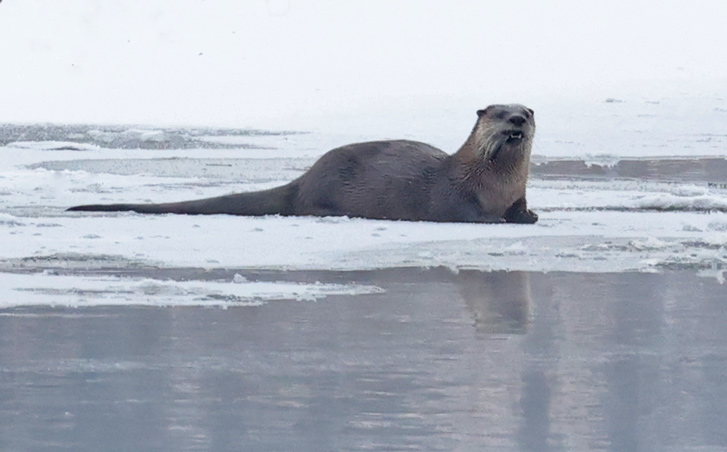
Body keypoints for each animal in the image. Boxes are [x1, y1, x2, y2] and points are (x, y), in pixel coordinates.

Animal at [67, 104, 538, 224]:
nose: (516, 120)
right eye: (499, 113)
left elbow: (522, 209)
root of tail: (304, 179)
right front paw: (495, 221)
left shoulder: (518, 191)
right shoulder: (455, 195)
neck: (493, 182)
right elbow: (466, 213)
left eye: (527, 112)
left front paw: (528, 217)